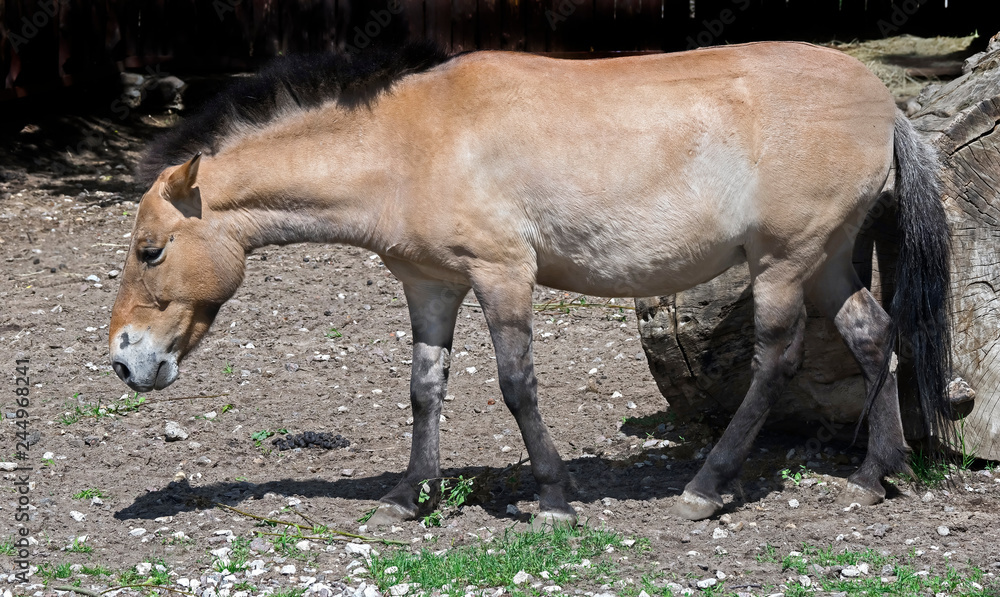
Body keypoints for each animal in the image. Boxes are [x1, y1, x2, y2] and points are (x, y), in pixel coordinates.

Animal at [109, 41, 952, 526]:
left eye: (150, 250)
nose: (124, 359)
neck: (411, 145)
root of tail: (886, 104)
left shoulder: (502, 274)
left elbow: (517, 386)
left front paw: (550, 497)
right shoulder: (431, 286)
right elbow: (425, 389)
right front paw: (408, 496)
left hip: (783, 260)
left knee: (776, 361)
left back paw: (708, 485)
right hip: (828, 258)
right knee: (873, 334)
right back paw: (874, 474)